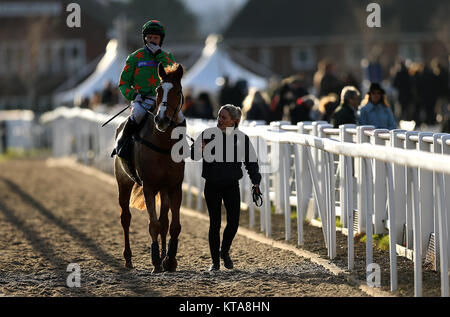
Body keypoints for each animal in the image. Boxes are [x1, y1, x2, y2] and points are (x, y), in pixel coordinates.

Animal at [116, 62, 186, 272]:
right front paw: (155, 260)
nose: (161, 120)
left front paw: (169, 259)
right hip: (123, 182)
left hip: (163, 190)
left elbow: (173, 225)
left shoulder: (174, 186)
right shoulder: (149, 186)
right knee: (125, 217)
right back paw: (128, 258)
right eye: (158, 91)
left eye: (178, 91)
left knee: (164, 221)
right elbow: (153, 224)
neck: (163, 144)